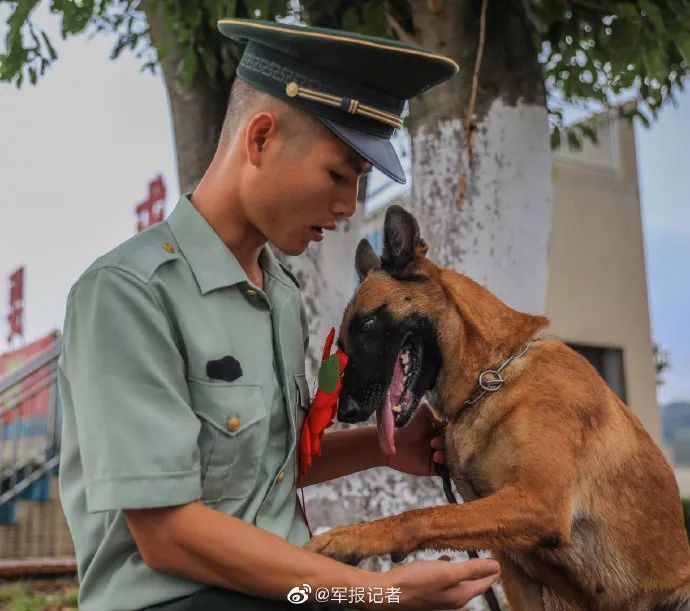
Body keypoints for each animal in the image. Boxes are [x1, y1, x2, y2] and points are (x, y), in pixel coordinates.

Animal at [304, 207, 688, 611]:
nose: (344, 411)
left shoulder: (537, 502)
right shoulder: (514, 563)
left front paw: (348, 538)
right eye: (341, 343)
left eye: (367, 324)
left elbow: (423, 515)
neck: (490, 378)